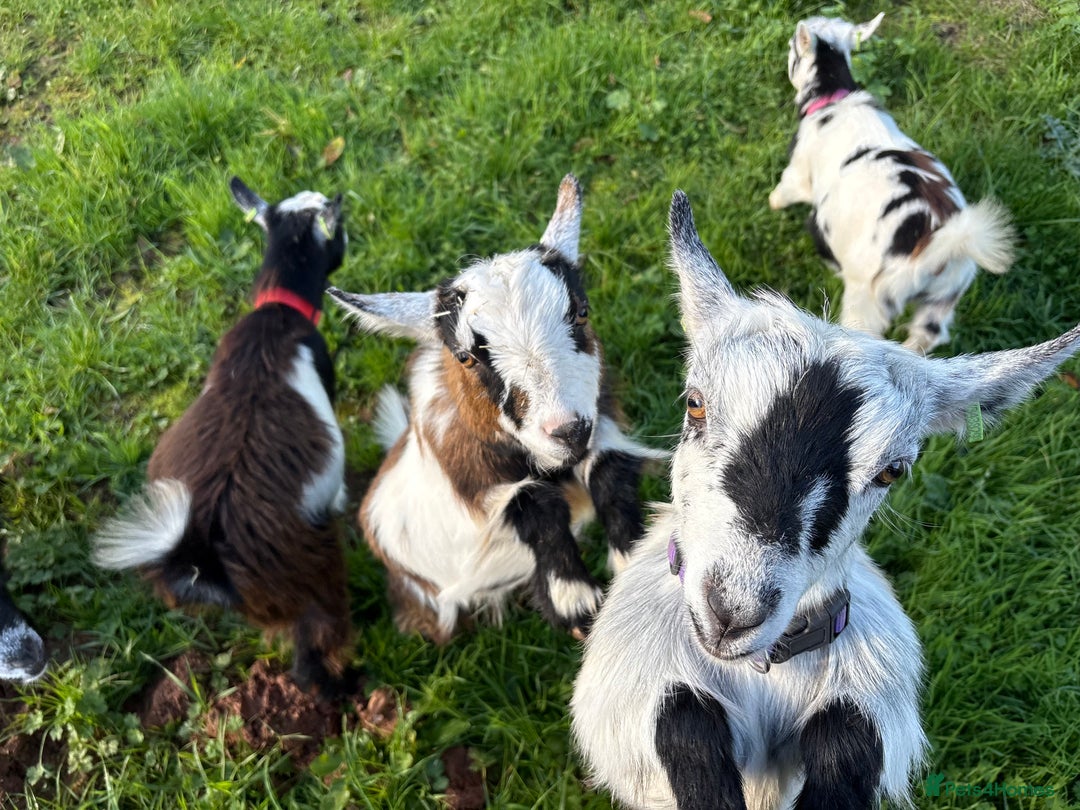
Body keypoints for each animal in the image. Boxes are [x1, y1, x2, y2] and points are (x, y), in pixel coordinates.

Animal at [94, 177, 352, 696]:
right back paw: (345, 687)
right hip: (313, 576)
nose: (348, 232)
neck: (277, 311)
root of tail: (207, 558)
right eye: (335, 230)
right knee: (312, 651)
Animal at [328, 174, 664, 643]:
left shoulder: (603, 429)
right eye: (466, 357)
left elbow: (610, 475)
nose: (568, 430)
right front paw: (574, 601)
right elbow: (532, 505)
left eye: (581, 311)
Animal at [571, 191, 1080, 810]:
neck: (761, 671)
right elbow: (681, 724)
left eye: (892, 471)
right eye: (694, 403)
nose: (732, 612)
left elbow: (847, 739)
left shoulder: (866, 695)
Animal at [769, 13, 1014, 354]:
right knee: (926, 337)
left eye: (793, 44)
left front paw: (772, 203)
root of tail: (939, 248)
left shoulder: (800, 173)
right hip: (945, 297)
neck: (834, 100)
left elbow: (785, 190)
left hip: (870, 299)